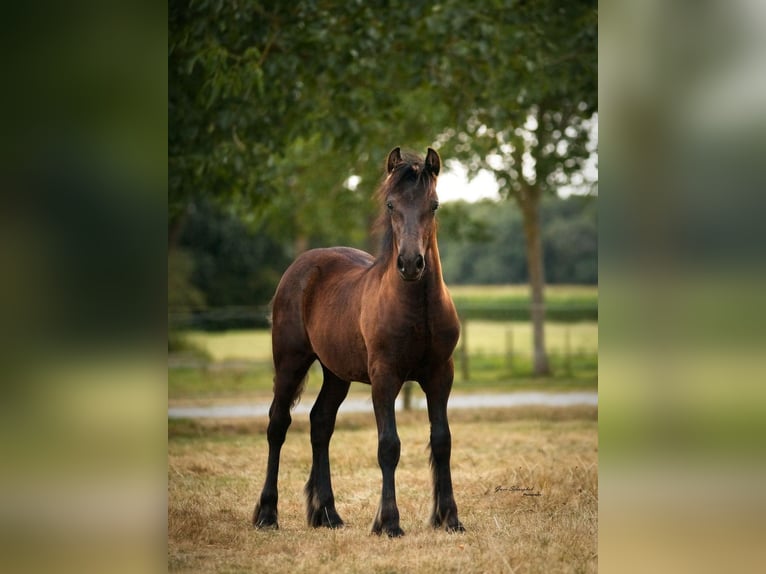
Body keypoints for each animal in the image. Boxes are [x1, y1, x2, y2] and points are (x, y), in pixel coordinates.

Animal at [253, 147, 464, 537]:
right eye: (391, 205)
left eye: (435, 204)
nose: (410, 264)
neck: (418, 309)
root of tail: (301, 266)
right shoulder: (384, 378)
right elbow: (389, 445)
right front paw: (389, 522)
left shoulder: (441, 375)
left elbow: (442, 441)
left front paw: (450, 518)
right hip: (290, 362)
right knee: (278, 424)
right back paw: (267, 514)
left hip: (337, 374)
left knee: (320, 423)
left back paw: (327, 514)